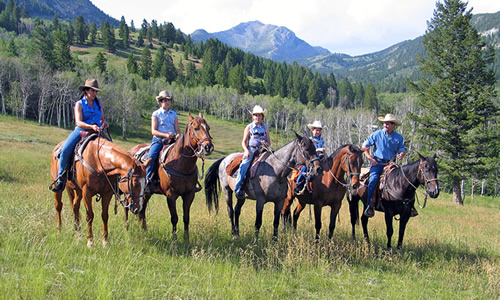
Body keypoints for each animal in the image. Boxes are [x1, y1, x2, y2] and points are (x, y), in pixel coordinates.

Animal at [127, 112, 213, 241]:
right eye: (196, 128)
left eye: (208, 128)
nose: (209, 147)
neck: (181, 164)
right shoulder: (171, 195)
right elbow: (174, 217)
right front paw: (174, 239)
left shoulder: (189, 194)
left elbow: (186, 218)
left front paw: (186, 239)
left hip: (146, 193)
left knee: (142, 209)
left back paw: (144, 230)